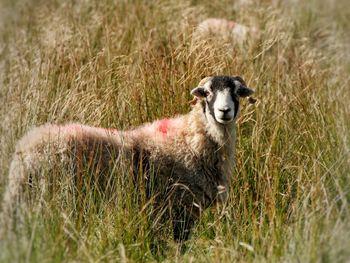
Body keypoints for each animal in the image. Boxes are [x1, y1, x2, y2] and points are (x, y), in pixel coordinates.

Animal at [2, 75, 254, 242]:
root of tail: (26, 147)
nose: (224, 111)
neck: (189, 138)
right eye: (208, 92)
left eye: (236, 92)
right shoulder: (179, 207)